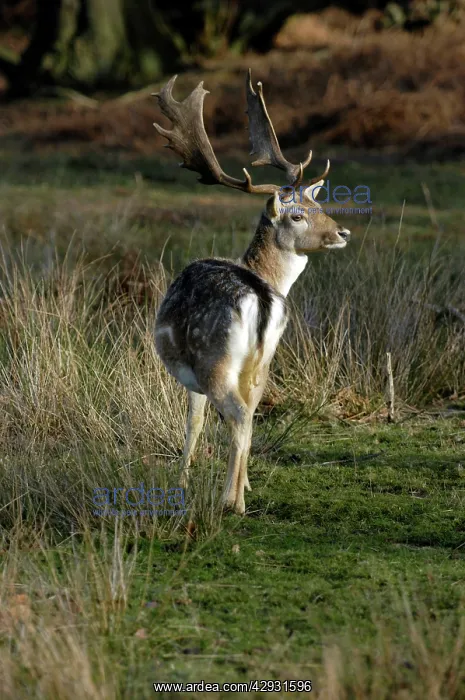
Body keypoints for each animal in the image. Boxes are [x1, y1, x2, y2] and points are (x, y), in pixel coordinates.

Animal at [154, 70, 350, 515]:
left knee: (239, 417)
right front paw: (245, 483)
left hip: (213, 360)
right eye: (299, 215)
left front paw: (182, 482)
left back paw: (231, 502)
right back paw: (240, 492)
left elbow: (193, 422)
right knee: (251, 414)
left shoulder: (191, 377)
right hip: (262, 361)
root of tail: (260, 299)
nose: (343, 232)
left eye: (316, 207)